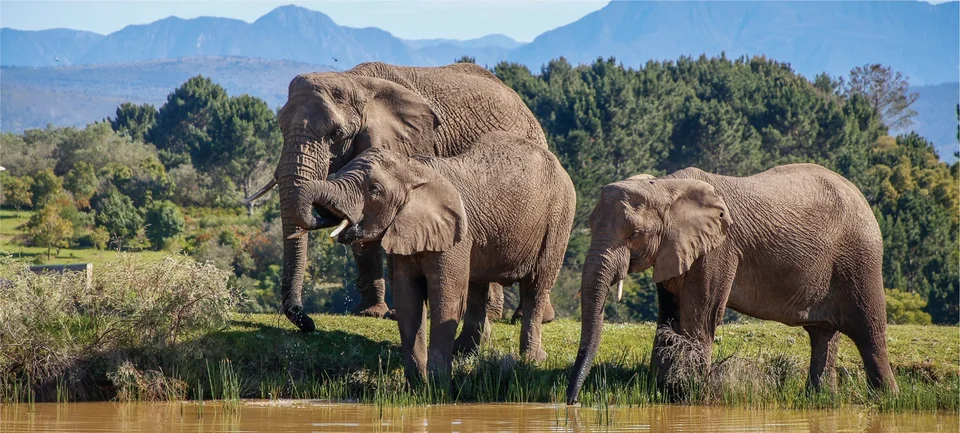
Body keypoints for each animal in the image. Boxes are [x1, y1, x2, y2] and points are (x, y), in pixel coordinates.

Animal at [242, 61, 555, 333]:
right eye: (280, 127)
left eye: (336, 133)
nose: (308, 323)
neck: (355, 82)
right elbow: (362, 216)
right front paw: (370, 313)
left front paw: (396, 314)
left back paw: (524, 317)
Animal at [299, 131, 576, 383]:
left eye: (374, 190)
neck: (414, 170)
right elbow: (408, 298)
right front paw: (416, 383)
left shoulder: (456, 235)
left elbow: (445, 297)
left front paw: (437, 384)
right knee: (477, 285)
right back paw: (464, 352)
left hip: (559, 218)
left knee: (536, 286)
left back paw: (532, 359)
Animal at [566, 163, 898, 405]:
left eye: (634, 234)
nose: (572, 402)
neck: (665, 186)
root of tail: (860, 195)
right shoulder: (674, 250)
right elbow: (668, 318)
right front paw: (663, 394)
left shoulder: (719, 249)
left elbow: (699, 317)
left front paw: (688, 396)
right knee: (822, 334)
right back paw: (821, 400)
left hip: (860, 257)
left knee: (869, 332)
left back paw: (887, 399)